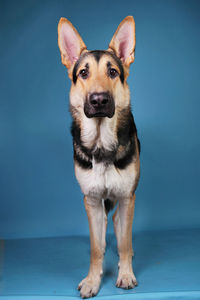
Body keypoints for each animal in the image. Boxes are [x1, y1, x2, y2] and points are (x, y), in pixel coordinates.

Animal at [57, 15, 140, 298]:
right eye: (84, 73)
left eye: (112, 72)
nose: (99, 100)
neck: (102, 146)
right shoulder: (92, 202)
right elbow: (96, 247)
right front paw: (93, 280)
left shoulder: (126, 198)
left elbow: (124, 242)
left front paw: (125, 274)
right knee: (104, 233)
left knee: (121, 231)